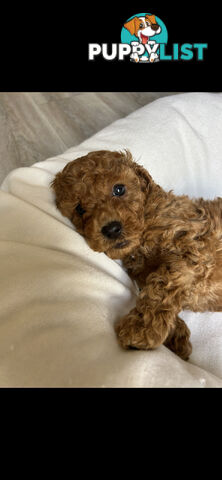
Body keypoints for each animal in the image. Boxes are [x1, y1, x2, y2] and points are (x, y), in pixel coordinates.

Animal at [50, 150, 222, 360]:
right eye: (80, 209)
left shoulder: (193, 244)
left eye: (119, 189)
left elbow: (163, 283)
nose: (111, 229)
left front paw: (139, 330)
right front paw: (177, 339)